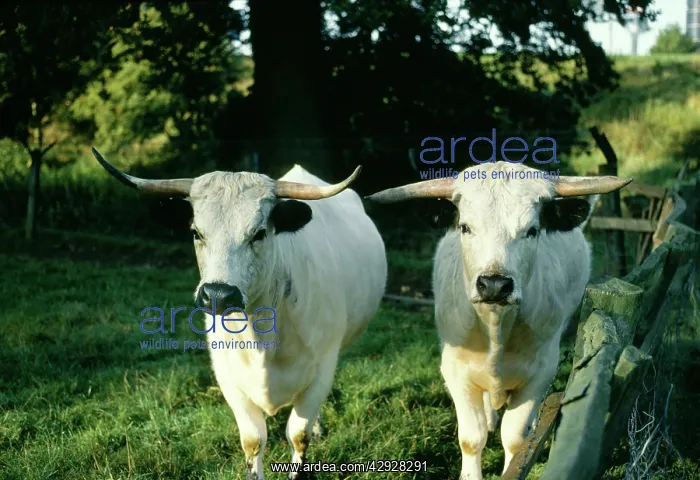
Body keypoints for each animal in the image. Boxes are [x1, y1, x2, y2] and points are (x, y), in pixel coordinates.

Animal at [91, 148, 388, 480]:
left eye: (258, 233)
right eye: (196, 232)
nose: (219, 295)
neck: (262, 336)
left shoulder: (323, 368)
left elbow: (298, 434)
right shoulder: (227, 375)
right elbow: (253, 440)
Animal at [365, 161, 631, 479]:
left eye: (532, 230)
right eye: (465, 227)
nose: (494, 284)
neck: (495, 328)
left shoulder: (540, 372)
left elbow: (515, 438)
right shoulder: (454, 370)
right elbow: (471, 438)